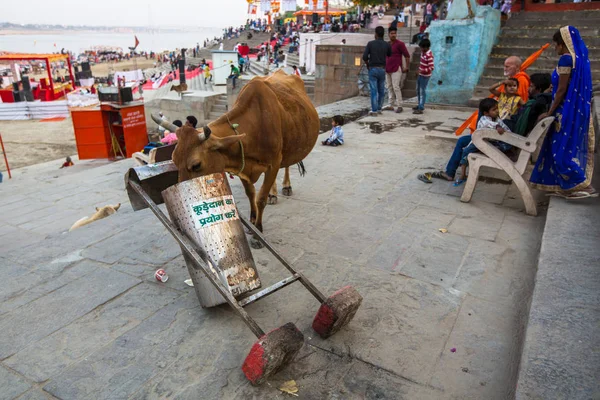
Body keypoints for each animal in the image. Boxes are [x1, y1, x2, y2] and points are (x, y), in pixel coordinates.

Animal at [156, 69, 324, 231]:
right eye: (174, 160)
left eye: (196, 165)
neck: (255, 125)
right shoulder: (243, 165)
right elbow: (250, 194)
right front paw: (253, 220)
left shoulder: (274, 162)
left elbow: (260, 198)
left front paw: (258, 227)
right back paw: (273, 194)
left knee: (287, 164)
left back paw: (286, 186)